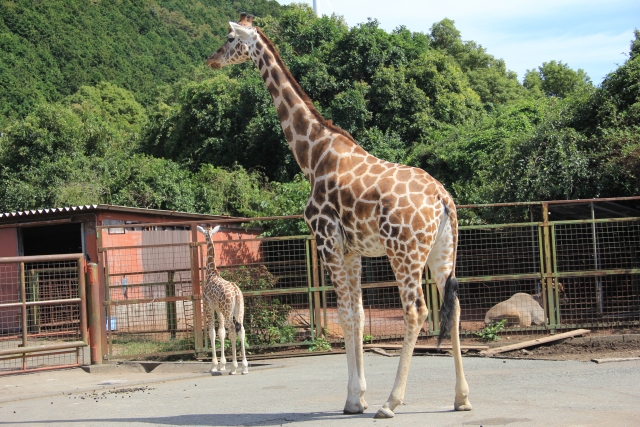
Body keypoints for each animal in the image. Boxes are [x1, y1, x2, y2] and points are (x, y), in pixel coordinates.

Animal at [196, 226, 249, 376]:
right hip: (239, 310)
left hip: (227, 310)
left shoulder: (208, 307)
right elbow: (221, 332)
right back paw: (245, 367)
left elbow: (212, 333)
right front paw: (222, 365)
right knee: (241, 330)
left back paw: (234, 368)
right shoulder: (218, 309)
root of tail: (236, 291)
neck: (211, 273)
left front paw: (214, 366)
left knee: (232, 330)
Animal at [205, 14, 470, 422]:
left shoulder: (326, 240)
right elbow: (358, 315)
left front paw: (355, 400)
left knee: (416, 311)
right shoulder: (353, 250)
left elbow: (344, 315)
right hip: (442, 252)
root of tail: (443, 199)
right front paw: (356, 397)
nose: (212, 60)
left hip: (403, 252)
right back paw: (461, 398)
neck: (313, 155)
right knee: (452, 308)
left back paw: (391, 403)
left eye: (231, 38)